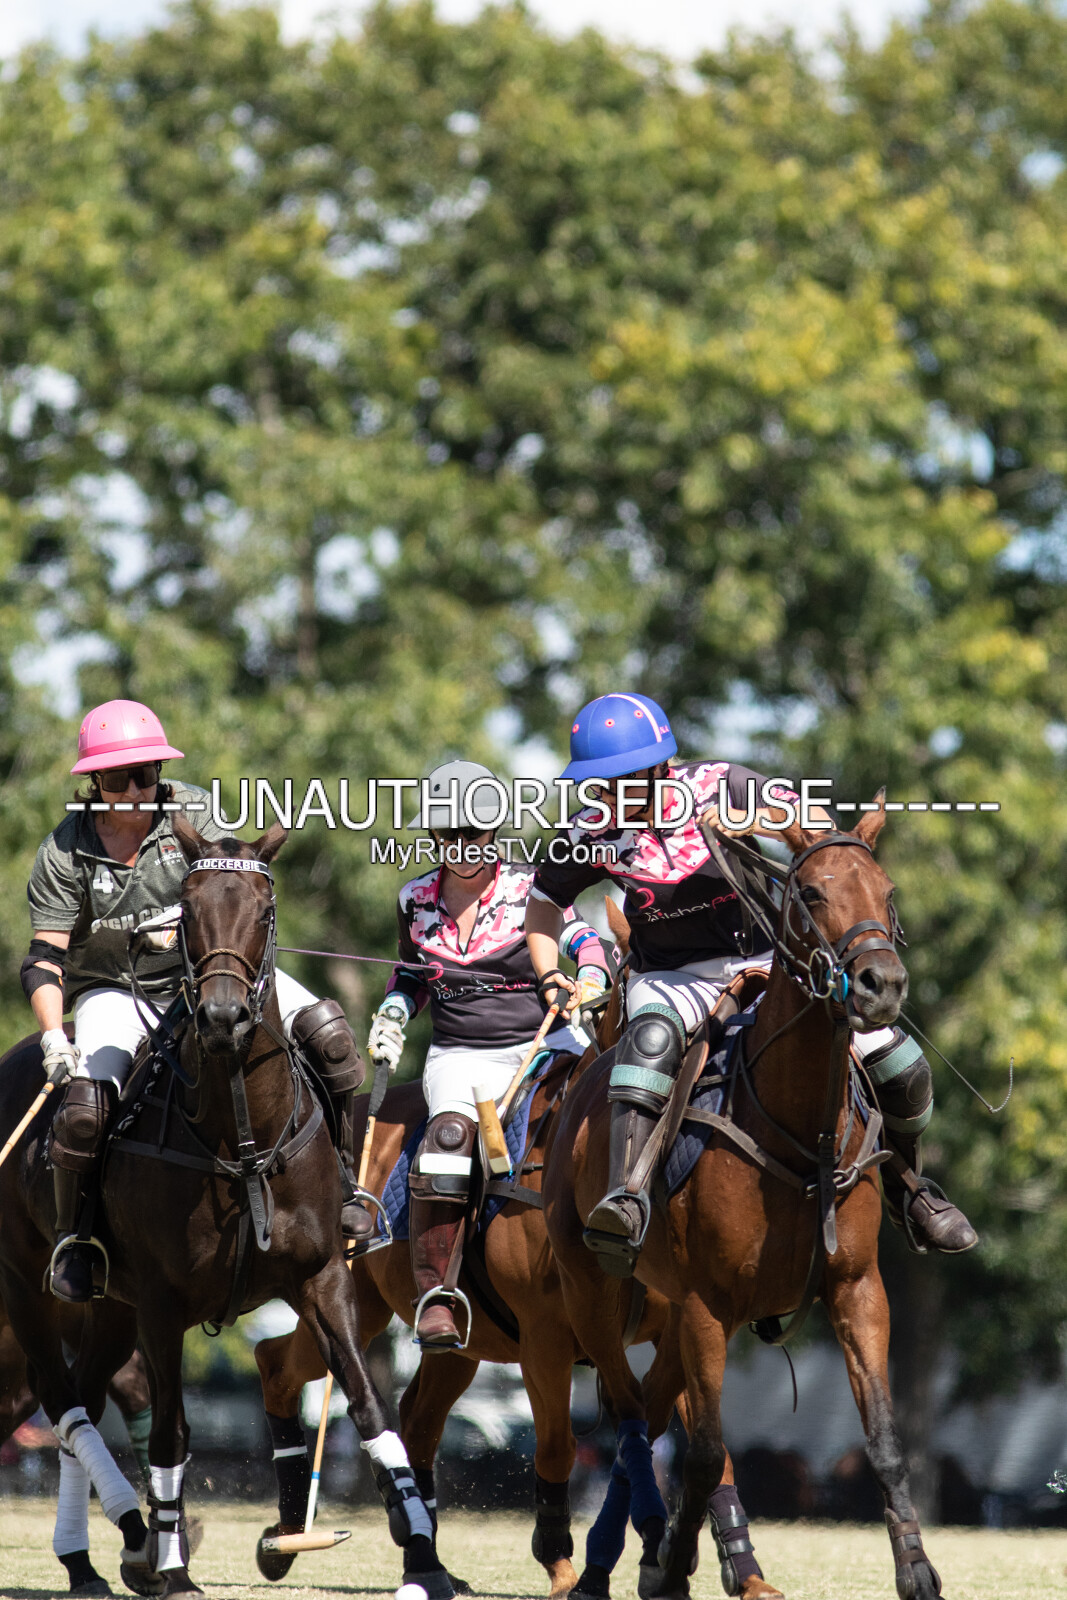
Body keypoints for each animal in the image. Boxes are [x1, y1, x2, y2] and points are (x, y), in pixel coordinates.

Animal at [0, 820, 450, 1600]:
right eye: (188, 911)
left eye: (266, 911)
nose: (220, 1016)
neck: (242, 1136)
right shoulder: (160, 1301)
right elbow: (172, 1433)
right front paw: (176, 1568)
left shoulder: (322, 1278)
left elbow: (369, 1405)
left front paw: (421, 1555)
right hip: (32, 1289)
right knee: (67, 1407)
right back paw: (118, 1549)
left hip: (109, 1309)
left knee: (81, 1402)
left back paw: (102, 1555)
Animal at [253, 997, 783, 1600]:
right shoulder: (545, 1338)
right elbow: (557, 1445)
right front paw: (561, 1564)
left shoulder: (682, 1325)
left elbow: (711, 1452)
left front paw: (743, 1572)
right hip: (356, 1302)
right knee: (277, 1362)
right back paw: (289, 1536)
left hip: (459, 1341)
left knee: (417, 1418)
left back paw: (423, 1559)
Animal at [544, 802, 944, 1600]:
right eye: (812, 893)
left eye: (886, 892)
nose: (880, 984)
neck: (796, 1126)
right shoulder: (707, 1303)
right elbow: (702, 1450)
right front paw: (671, 1567)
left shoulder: (857, 1287)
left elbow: (885, 1440)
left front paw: (917, 1571)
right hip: (589, 1289)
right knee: (630, 1418)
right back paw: (617, 1561)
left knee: (652, 1410)